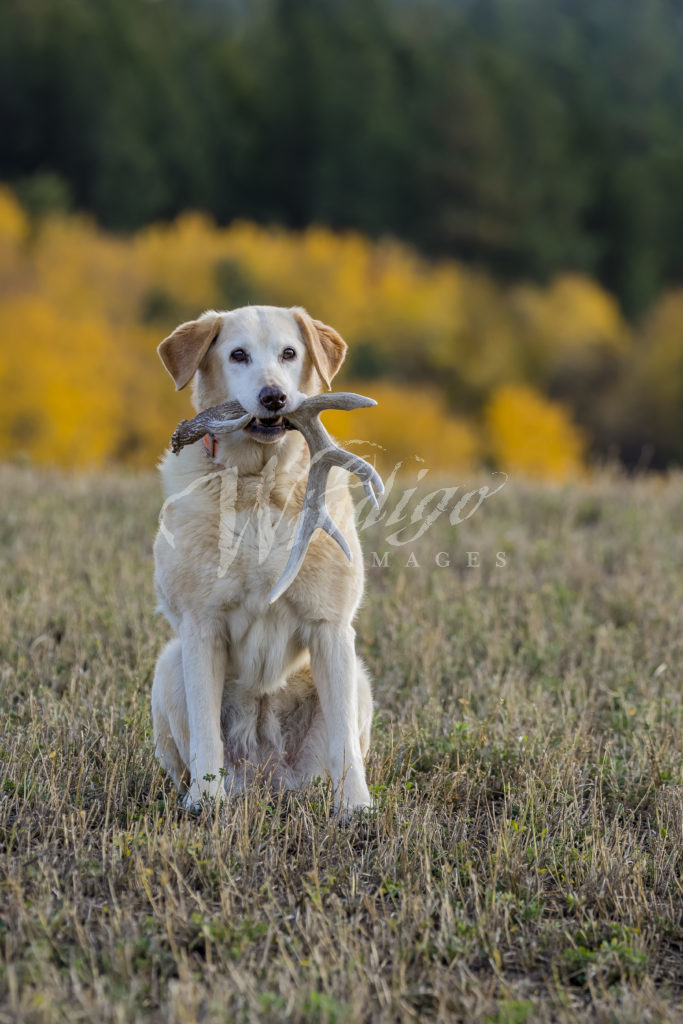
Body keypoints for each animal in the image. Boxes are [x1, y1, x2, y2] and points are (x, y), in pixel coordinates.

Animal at [151, 306, 373, 813]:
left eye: (289, 352)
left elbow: (344, 742)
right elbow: (206, 734)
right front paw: (206, 804)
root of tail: (267, 776)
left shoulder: (331, 626)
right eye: (238, 354)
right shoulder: (200, 626)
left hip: (360, 680)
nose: (274, 397)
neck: (257, 484)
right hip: (168, 667)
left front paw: (355, 807)